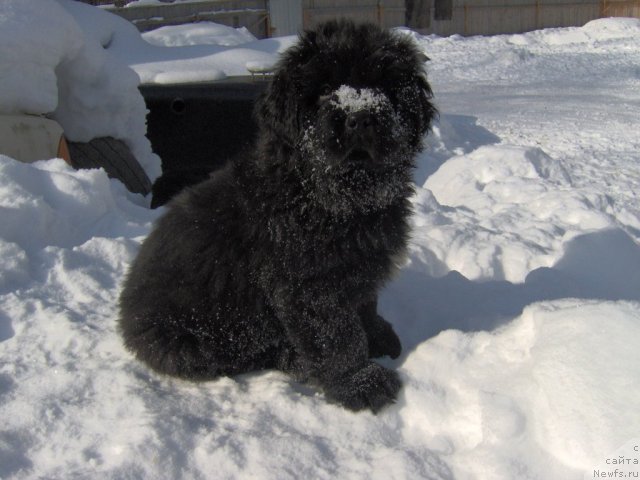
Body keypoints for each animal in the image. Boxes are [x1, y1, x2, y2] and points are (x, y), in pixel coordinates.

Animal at [118, 19, 438, 412]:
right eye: (325, 88)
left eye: (382, 84)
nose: (360, 116)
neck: (326, 197)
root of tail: (124, 312)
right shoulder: (310, 286)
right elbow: (338, 338)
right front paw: (360, 384)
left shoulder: (357, 267)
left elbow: (365, 304)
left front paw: (378, 337)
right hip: (192, 340)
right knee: (240, 355)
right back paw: (293, 359)